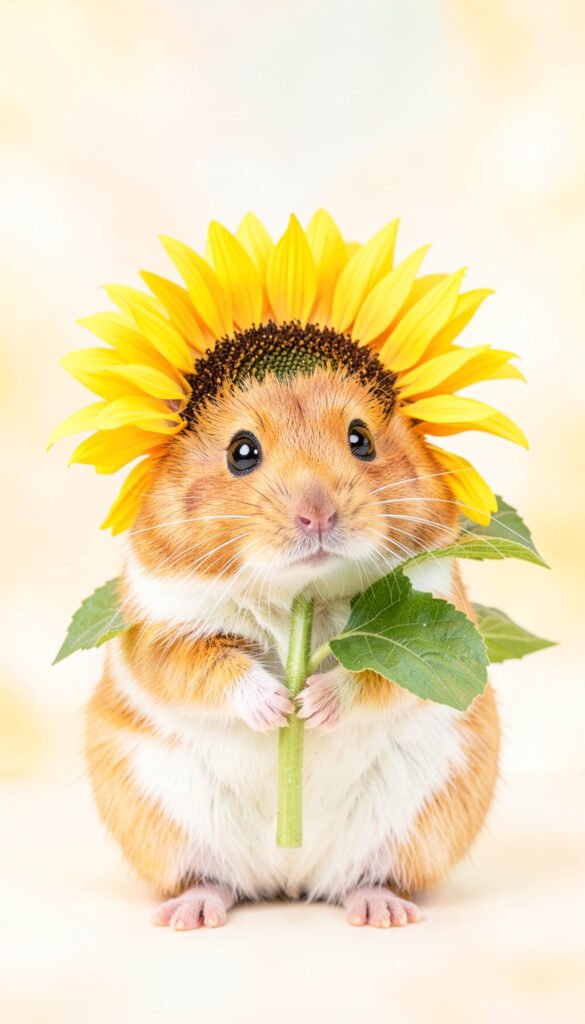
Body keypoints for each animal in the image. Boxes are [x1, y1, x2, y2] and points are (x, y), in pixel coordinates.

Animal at [86, 359, 499, 930]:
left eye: (360, 439)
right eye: (242, 451)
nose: (318, 516)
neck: (301, 591)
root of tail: (289, 877)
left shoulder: (430, 603)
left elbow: (376, 679)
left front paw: (311, 705)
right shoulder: (162, 631)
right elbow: (207, 668)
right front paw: (280, 708)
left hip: (419, 823)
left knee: (368, 878)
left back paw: (382, 911)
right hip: (164, 822)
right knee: (212, 879)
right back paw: (190, 915)